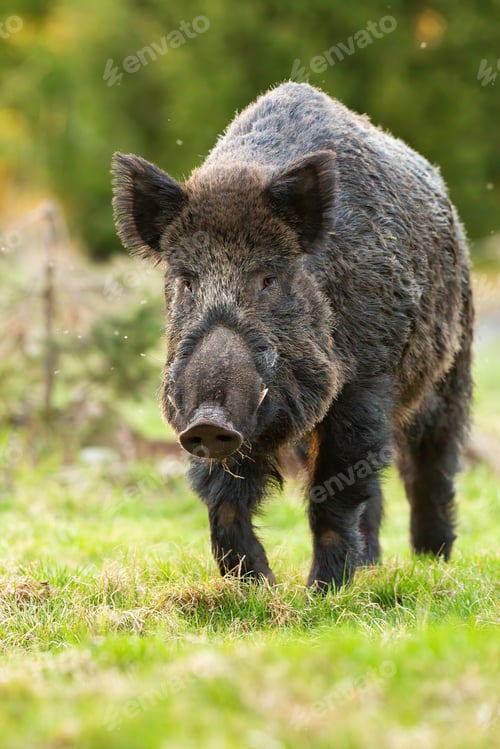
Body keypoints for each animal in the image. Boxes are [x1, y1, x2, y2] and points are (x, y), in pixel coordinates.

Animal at [111, 82, 473, 591]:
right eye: (186, 281)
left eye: (268, 279)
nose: (208, 420)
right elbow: (222, 496)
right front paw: (255, 586)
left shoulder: (364, 383)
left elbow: (335, 491)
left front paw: (322, 592)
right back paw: (373, 565)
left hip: (452, 366)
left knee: (432, 463)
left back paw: (431, 562)